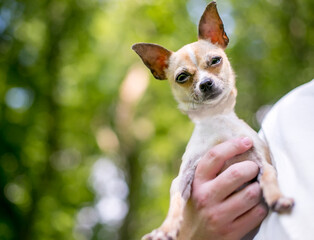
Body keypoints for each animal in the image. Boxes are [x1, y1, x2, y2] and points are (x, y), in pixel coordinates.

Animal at [131, 2, 294, 240]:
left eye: (216, 61)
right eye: (182, 77)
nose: (205, 83)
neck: (216, 118)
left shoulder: (262, 162)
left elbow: (270, 179)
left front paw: (277, 198)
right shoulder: (183, 178)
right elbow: (176, 204)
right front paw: (165, 229)